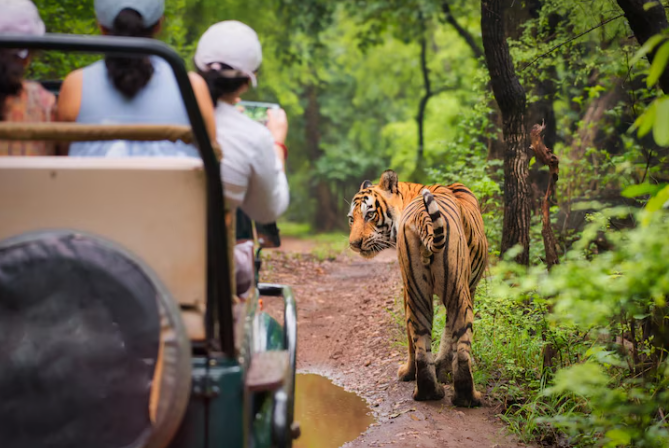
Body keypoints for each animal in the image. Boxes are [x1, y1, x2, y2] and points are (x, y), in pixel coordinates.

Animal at [348, 169, 488, 406]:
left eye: (369, 215)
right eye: (352, 218)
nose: (354, 244)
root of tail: (423, 215)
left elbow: (427, 333)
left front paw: (430, 370)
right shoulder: (470, 287)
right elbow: (449, 334)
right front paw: (443, 368)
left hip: (417, 291)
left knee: (420, 343)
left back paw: (428, 391)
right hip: (458, 293)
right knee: (461, 348)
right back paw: (466, 397)